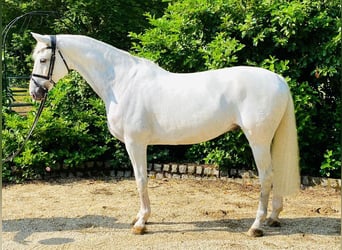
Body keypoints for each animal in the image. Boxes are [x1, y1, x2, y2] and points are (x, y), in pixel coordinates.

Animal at [30, 32, 300, 236]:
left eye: (43, 59)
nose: (35, 92)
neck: (122, 82)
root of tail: (278, 79)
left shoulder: (135, 143)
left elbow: (141, 180)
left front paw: (141, 223)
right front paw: (139, 217)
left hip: (258, 140)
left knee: (266, 177)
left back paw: (256, 226)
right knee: (274, 174)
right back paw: (273, 217)